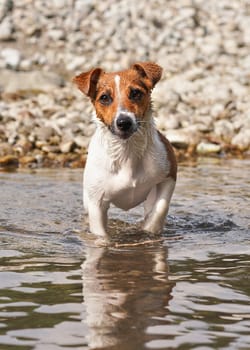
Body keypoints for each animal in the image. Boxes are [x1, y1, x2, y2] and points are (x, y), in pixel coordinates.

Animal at [73, 61, 177, 239]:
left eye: (135, 93)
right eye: (104, 98)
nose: (124, 122)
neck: (127, 152)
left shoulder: (168, 176)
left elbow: (160, 209)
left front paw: (149, 230)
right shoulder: (96, 202)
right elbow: (100, 235)